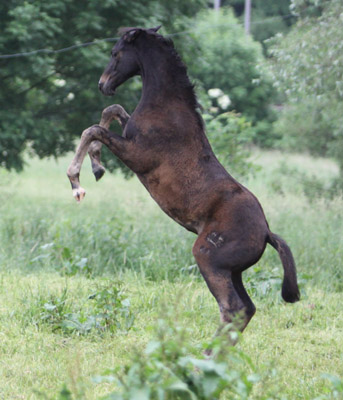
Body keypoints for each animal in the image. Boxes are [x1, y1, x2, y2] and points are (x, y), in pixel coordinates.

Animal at [67, 26, 298, 336]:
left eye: (116, 53)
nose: (103, 84)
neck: (167, 108)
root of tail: (266, 233)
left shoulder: (138, 155)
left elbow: (93, 129)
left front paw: (77, 182)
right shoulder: (128, 133)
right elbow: (111, 111)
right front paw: (97, 166)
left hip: (208, 259)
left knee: (231, 308)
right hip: (233, 271)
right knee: (245, 310)